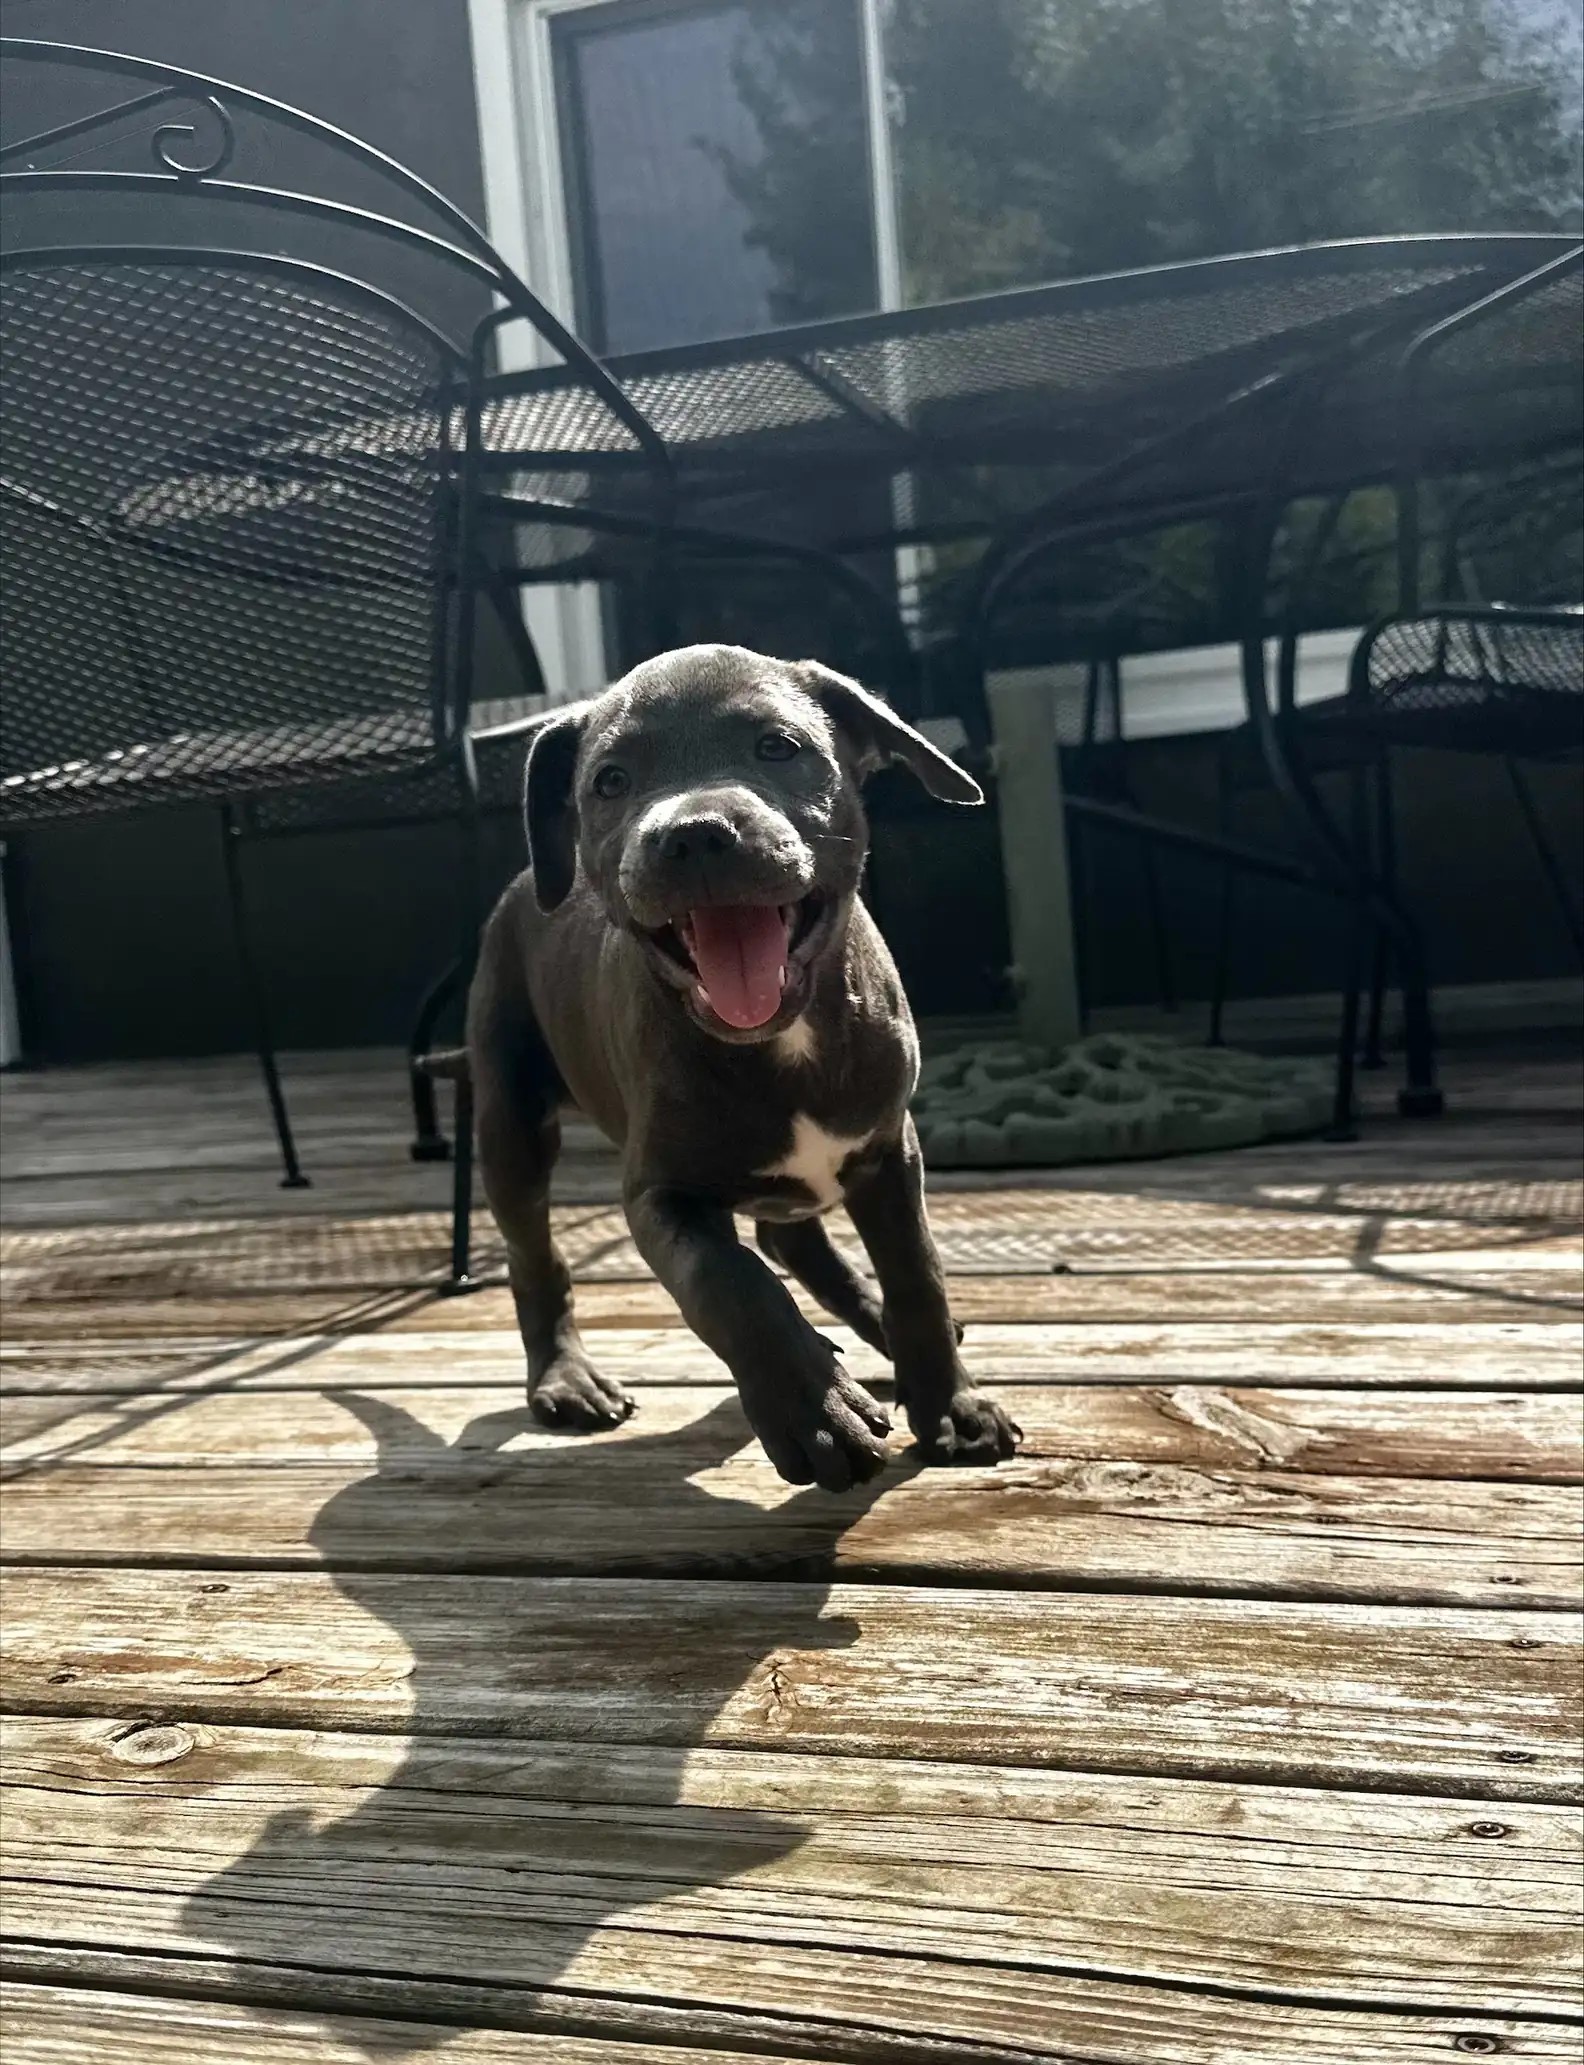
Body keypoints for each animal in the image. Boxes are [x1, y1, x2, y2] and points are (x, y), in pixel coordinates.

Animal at [464, 640, 1024, 1486]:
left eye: (778, 747)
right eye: (610, 781)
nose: (693, 834)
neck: (783, 1040)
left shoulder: (890, 1148)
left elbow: (916, 1274)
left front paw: (953, 1407)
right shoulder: (661, 1193)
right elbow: (730, 1284)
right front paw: (815, 1411)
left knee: (796, 1241)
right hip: (511, 1122)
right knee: (538, 1256)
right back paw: (566, 1379)